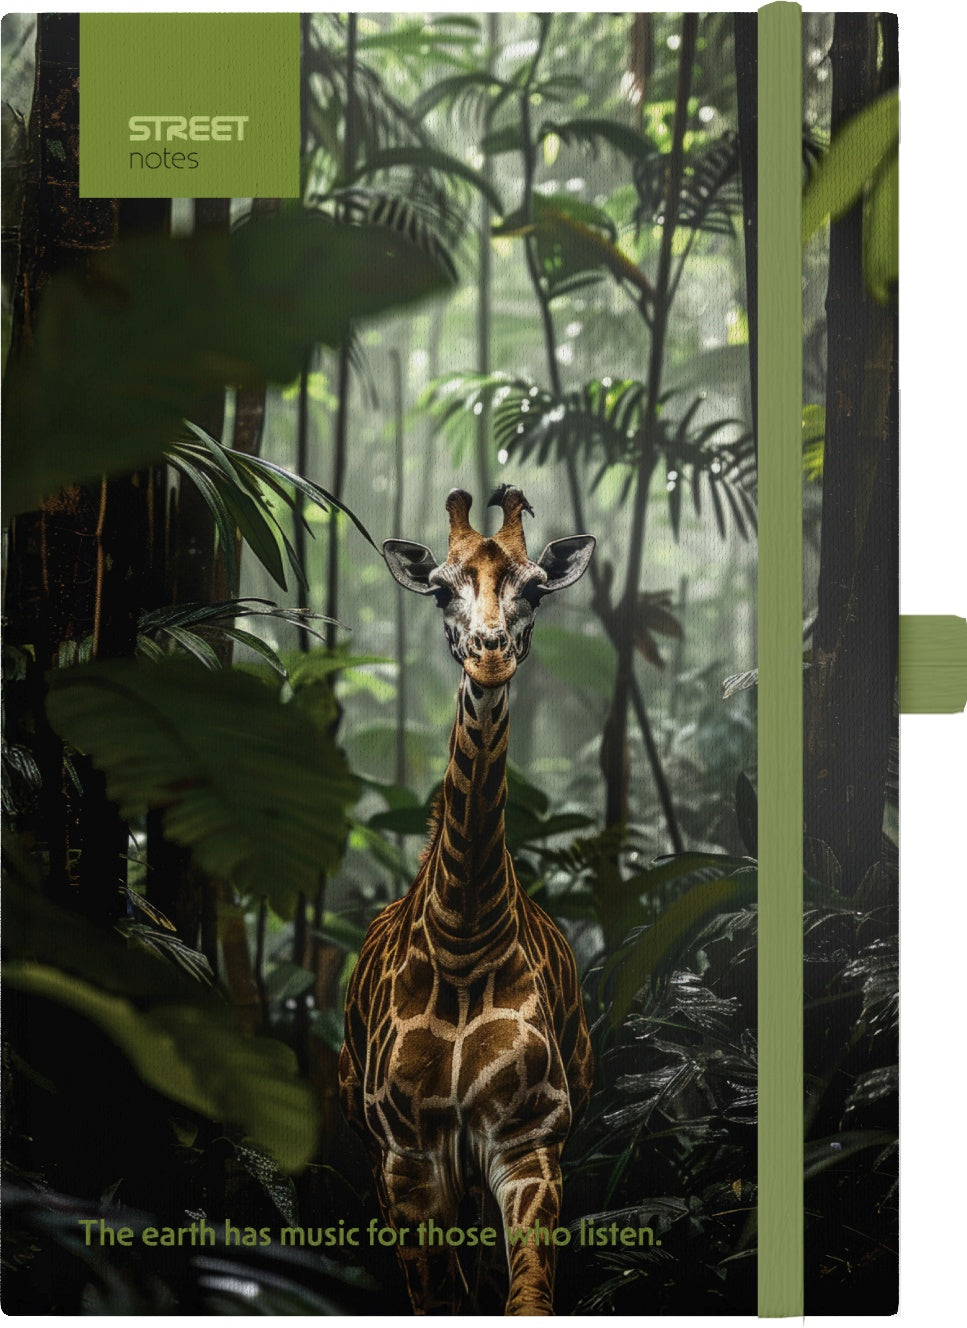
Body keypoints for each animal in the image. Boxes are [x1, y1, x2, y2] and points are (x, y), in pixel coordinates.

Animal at [339, 485, 595, 1316]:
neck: (461, 932)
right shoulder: (406, 1155)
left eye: (535, 589)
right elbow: (438, 1300)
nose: (489, 652)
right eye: (441, 588)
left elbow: (524, 1298)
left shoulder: (528, 1138)